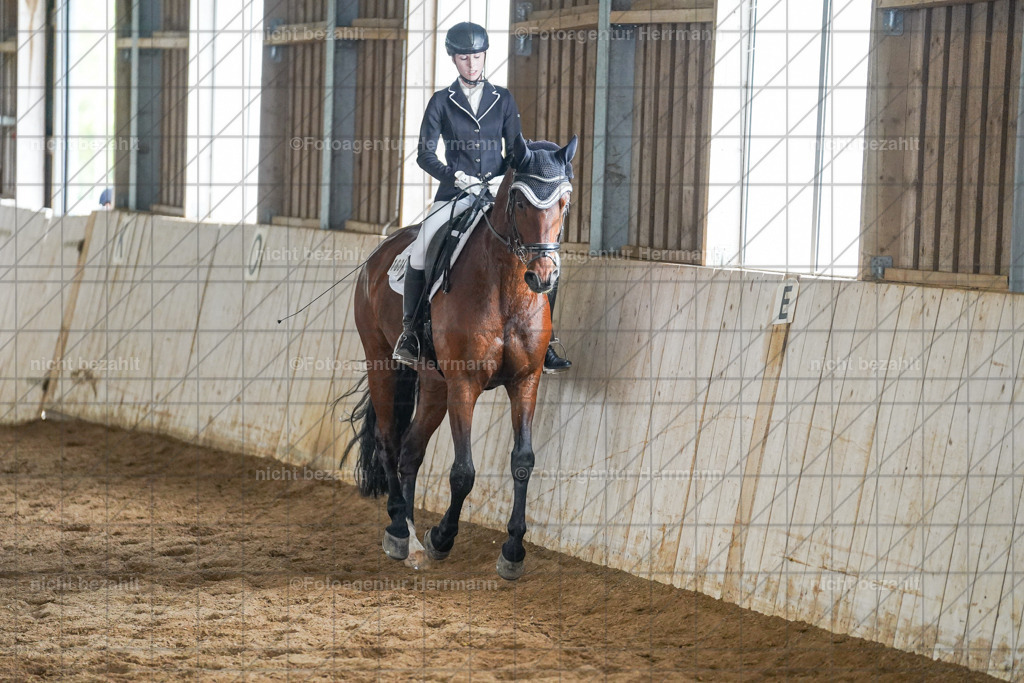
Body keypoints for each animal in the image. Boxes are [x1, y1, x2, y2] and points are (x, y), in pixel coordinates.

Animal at [343, 133, 577, 580]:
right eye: (520, 202)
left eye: (563, 202)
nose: (543, 276)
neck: (506, 288)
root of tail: (382, 250)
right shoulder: (464, 385)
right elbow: (463, 472)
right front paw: (442, 538)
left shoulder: (526, 380)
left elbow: (523, 461)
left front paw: (513, 551)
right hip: (383, 362)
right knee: (388, 441)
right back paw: (399, 530)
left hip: (435, 384)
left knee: (410, 450)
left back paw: (411, 534)